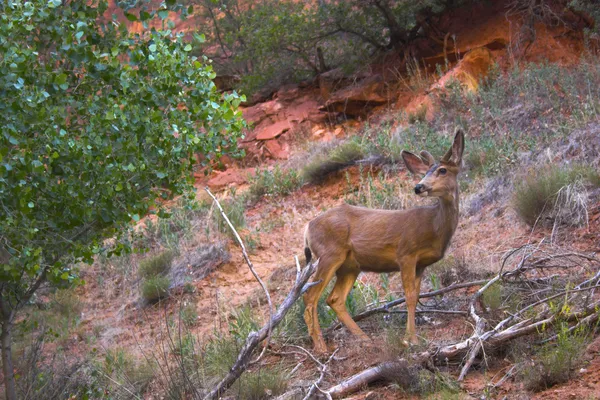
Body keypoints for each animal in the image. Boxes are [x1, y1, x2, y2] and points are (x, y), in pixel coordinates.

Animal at [302, 129, 466, 354]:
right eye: (425, 172)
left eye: (442, 170)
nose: (419, 187)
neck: (434, 226)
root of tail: (308, 227)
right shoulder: (406, 253)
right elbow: (409, 296)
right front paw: (411, 340)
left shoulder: (421, 264)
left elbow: (416, 295)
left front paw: (409, 338)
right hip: (329, 254)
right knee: (310, 296)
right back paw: (321, 347)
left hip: (350, 266)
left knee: (334, 299)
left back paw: (364, 339)